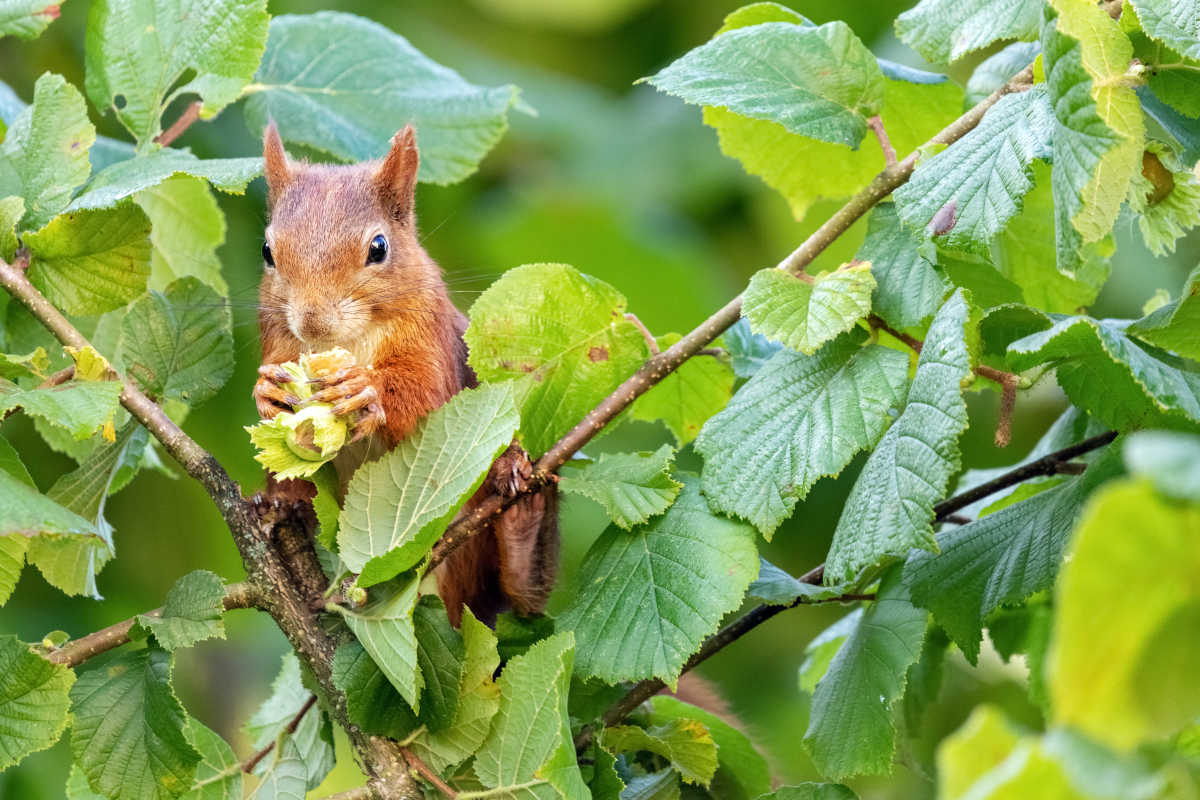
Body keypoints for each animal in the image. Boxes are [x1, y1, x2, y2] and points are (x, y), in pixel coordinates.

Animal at [252, 123, 556, 623]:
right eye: (267, 251)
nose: (313, 322)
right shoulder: (276, 339)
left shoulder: (431, 341)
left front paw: (365, 391)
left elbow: (426, 397)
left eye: (379, 248)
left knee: (522, 593)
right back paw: (281, 501)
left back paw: (520, 503)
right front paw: (266, 393)